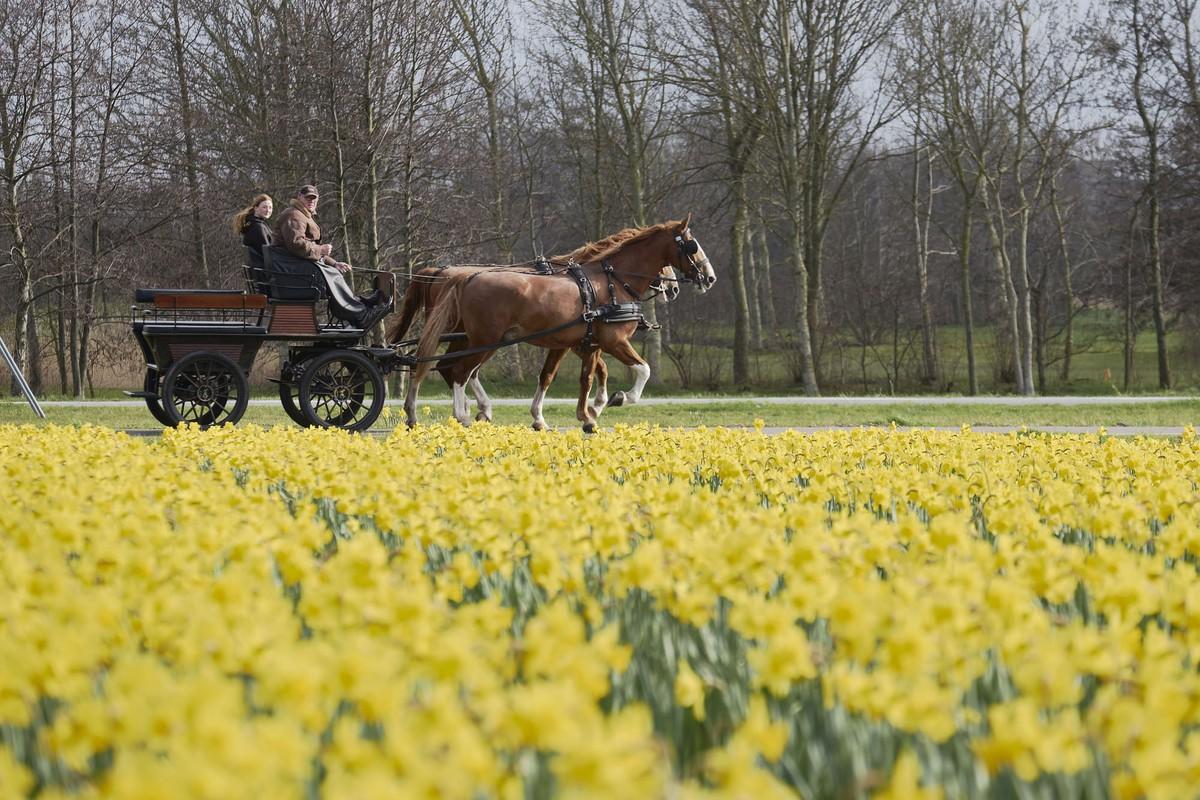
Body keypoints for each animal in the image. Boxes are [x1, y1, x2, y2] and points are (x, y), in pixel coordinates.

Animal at [408, 217, 715, 431]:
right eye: (692, 246)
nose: (709, 278)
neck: (611, 282)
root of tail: (463, 278)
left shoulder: (583, 343)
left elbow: (576, 376)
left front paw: (583, 415)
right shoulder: (612, 341)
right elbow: (643, 369)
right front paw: (617, 399)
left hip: (475, 339)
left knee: (446, 368)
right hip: (484, 340)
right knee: (458, 371)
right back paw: (462, 415)